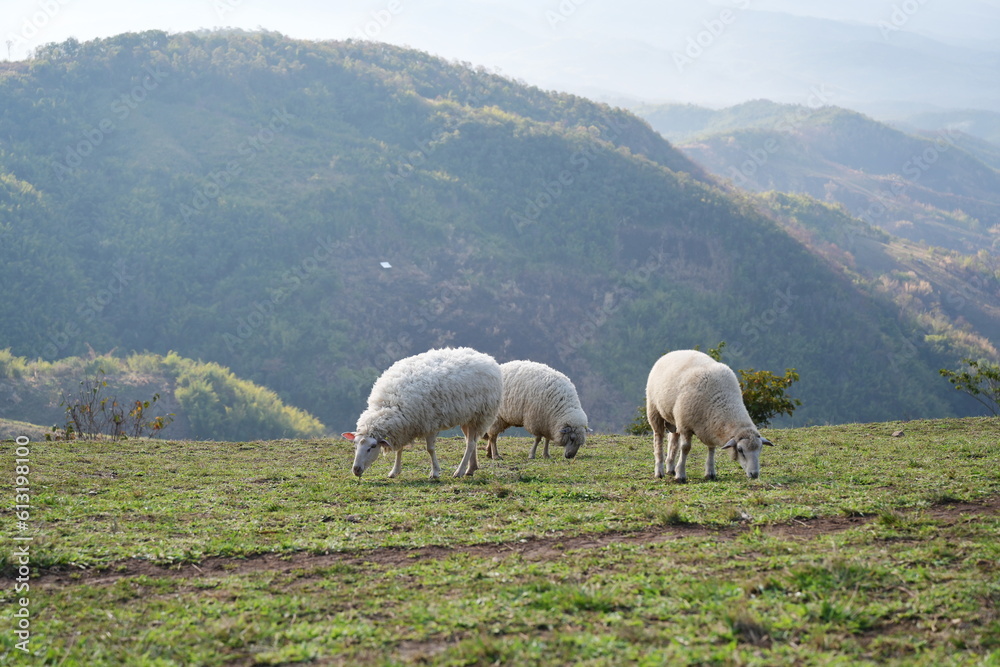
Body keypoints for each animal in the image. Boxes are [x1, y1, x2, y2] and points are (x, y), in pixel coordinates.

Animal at [342, 347, 502, 479]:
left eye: (372, 447)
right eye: (355, 444)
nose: (356, 470)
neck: (390, 404)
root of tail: (486, 357)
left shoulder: (430, 423)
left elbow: (430, 449)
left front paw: (435, 472)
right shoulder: (404, 427)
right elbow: (399, 449)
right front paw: (394, 471)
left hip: (481, 414)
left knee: (470, 444)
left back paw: (460, 471)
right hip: (467, 417)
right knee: (471, 441)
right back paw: (471, 468)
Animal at [645, 349, 773, 481]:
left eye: (760, 449)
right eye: (740, 450)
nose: (754, 474)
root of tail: (674, 352)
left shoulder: (710, 426)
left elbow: (712, 448)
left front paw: (710, 472)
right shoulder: (685, 425)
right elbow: (685, 448)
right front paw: (680, 474)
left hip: (674, 417)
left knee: (673, 438)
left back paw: (670, 467)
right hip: (654, 409)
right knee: (658, 438)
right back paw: (659, 471)